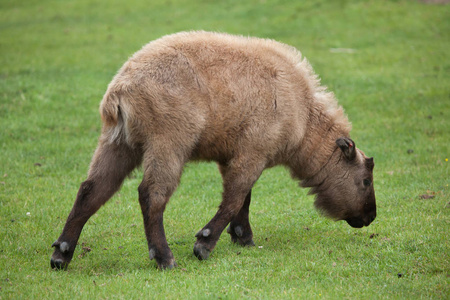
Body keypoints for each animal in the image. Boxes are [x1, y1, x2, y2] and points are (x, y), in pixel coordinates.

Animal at [51, 31, 376, 270]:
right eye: (365, 180)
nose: (371, 216)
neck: (304, 113)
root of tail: (121, 89)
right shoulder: (252, 154)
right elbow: (234, 198)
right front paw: (204, 244)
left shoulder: (233, 156)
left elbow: (243, 198)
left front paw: (243, 238)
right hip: (168, 143)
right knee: (151, 195)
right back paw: (164, 257)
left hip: (118, 143)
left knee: (92, 190)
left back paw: (61, 254)